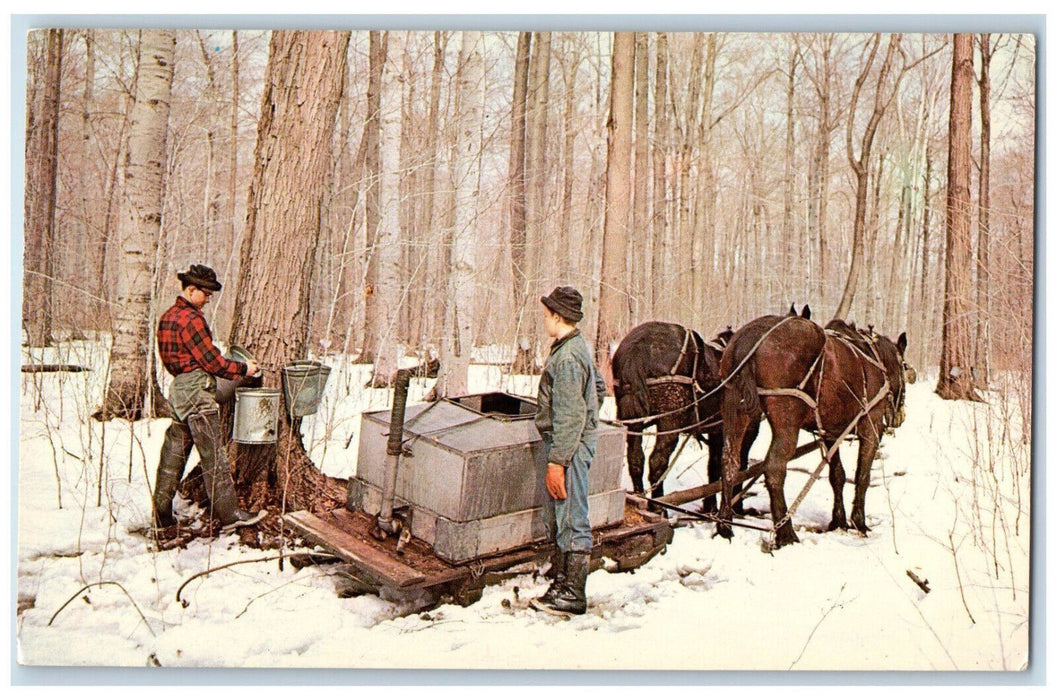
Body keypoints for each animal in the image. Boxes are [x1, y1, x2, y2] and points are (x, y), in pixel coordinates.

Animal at [613, 321, 761, 513]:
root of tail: (635, 349)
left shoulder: (716, 432)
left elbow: (713, 466)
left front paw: (710, 506)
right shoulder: (748, 429)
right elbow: (739, 465)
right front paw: (737, 507)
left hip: (631, 419)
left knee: (636, 459)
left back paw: (640, 497)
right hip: (670, 420)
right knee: (657, 462)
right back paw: (659, 507)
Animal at [714, 312, 913, 549]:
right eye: (904, 368)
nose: (899, 417)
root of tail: (749, 339)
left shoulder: (831, 433)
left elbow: (837, 475)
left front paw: (839, 520)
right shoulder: (870, 428)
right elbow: (861, 476)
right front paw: (859, 522)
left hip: (734, 408)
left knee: (729, 461)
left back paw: (725, 525)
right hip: (786, 420)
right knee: (774, 468)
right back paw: (785, 532)